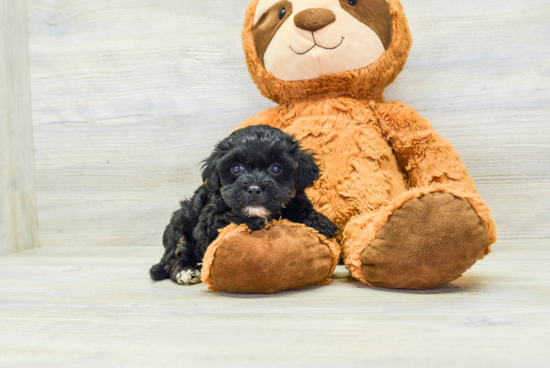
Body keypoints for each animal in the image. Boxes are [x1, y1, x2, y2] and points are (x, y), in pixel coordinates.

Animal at [151, 126, 340, 284]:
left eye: (276, 168)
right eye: (236, 168)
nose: (254, 189)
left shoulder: (295, 200)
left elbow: (303, 209)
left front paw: (322, 223)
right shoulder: (208, 220)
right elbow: (226, 218)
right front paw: (254, 221)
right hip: (181, 223)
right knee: (178, 254)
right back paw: (185, 271)